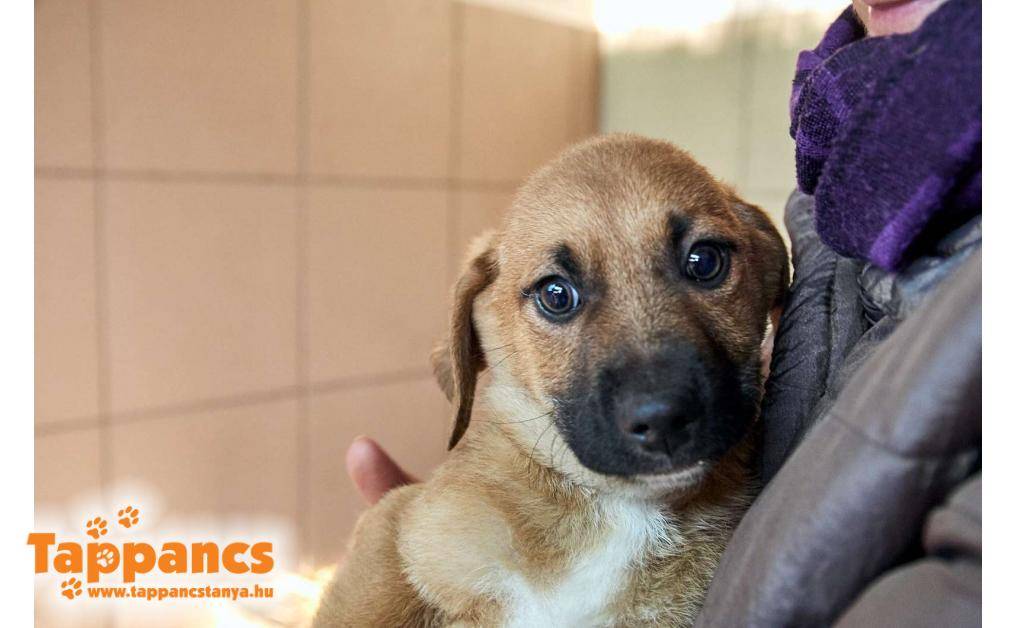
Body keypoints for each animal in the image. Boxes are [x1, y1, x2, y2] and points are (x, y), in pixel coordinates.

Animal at [313, 134, 789, 627]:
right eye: (556, 295)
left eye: (705, 261)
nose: (664, 418)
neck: (615, 510)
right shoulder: (395, 522)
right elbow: (370, 601)